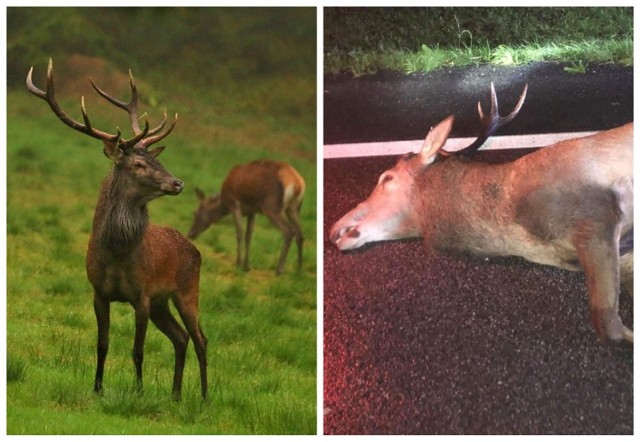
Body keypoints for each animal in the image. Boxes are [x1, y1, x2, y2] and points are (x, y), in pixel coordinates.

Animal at [26, 58, 208, 400]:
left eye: (155, 160)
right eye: (138, 164)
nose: (178, 183)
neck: (116, 254)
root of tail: (195, 249)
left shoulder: (142, 295)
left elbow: (138, 350)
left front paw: (138, 391)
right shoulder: (99, 293)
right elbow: (102, 344)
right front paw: (97, 388)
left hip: (187, 290)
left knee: (200, 338)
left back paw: (204, 397)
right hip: (163, 302)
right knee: (181, 338)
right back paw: (176, 395)